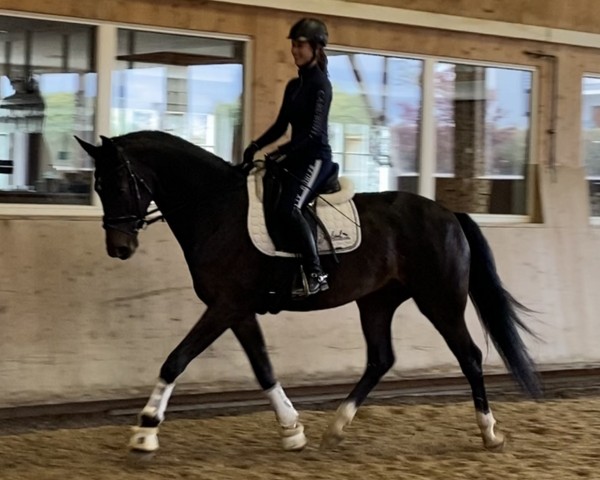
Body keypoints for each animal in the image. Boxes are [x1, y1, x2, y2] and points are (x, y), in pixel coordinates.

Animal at [75, 130, 540, 454]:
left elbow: (176, 360)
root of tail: (449, 214)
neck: (216, 210)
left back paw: (490, 433)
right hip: (377, 301)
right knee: (380, 359)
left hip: (440, 301)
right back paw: (336, 428)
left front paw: (144, 432)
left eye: (120, 184)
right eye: (98, 187)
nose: (120, 248)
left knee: (470, 356)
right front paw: (292, 431)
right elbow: (263, 368)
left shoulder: (226, 306)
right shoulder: (237, 310)